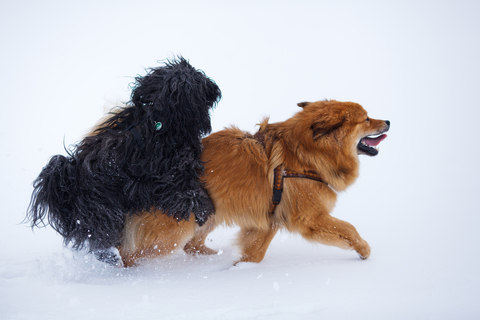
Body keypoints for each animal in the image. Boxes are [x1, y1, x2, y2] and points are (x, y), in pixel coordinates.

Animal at [25, 57, 220, 262]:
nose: (215, 88)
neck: (159, 121)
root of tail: (66, 186)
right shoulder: (167, 176)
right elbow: (187, 192)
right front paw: (205, 209)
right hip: (103, 212)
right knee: (102, 237)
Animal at [118, 101, 388, 266]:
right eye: (366, 119)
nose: (388, 121)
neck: (304, 155)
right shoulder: (309, 218)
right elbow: (349, 229)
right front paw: (364, 250)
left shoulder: (267, 221)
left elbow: (255, 252)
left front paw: (240, 268)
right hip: (174, 229)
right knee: (131, 253)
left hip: (207, 215)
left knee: (192, 246)